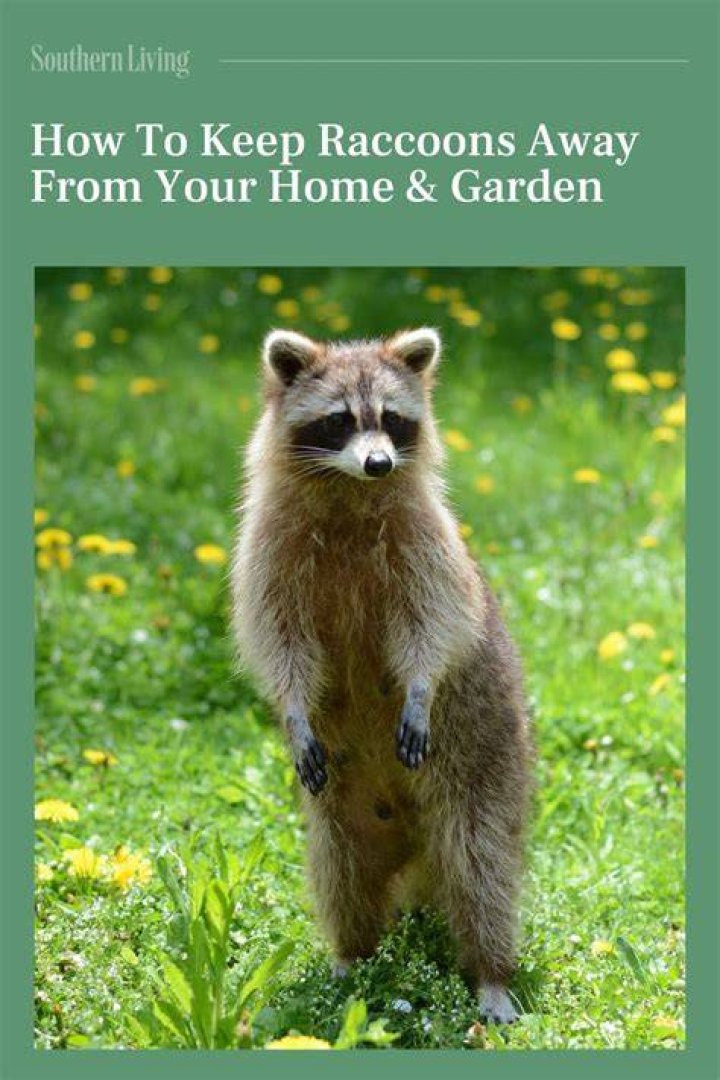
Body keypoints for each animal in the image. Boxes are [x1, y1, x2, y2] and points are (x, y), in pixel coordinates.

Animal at [231, 327, 532, 1023]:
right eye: (340, 420)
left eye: (391, 419)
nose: (379, 464)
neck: (349, 492)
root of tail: (415, 848)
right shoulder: (269, 549)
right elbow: (276, 639)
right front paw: (292, 707)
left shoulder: (425, 542)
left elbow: (436, 623)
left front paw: (419, 688)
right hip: (339, 813)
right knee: (341, 874)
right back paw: (353, 954)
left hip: (487, 764)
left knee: (482, 868)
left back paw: (491, 972)